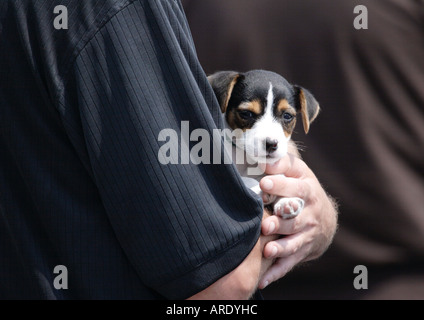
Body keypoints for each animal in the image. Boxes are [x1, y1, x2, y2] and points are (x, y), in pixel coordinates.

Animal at [207, 70, 320, 219]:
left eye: (287, 116)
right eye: (246, 113)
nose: (271, 144)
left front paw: (287, 201)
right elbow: (245, 180)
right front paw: (261, 188)